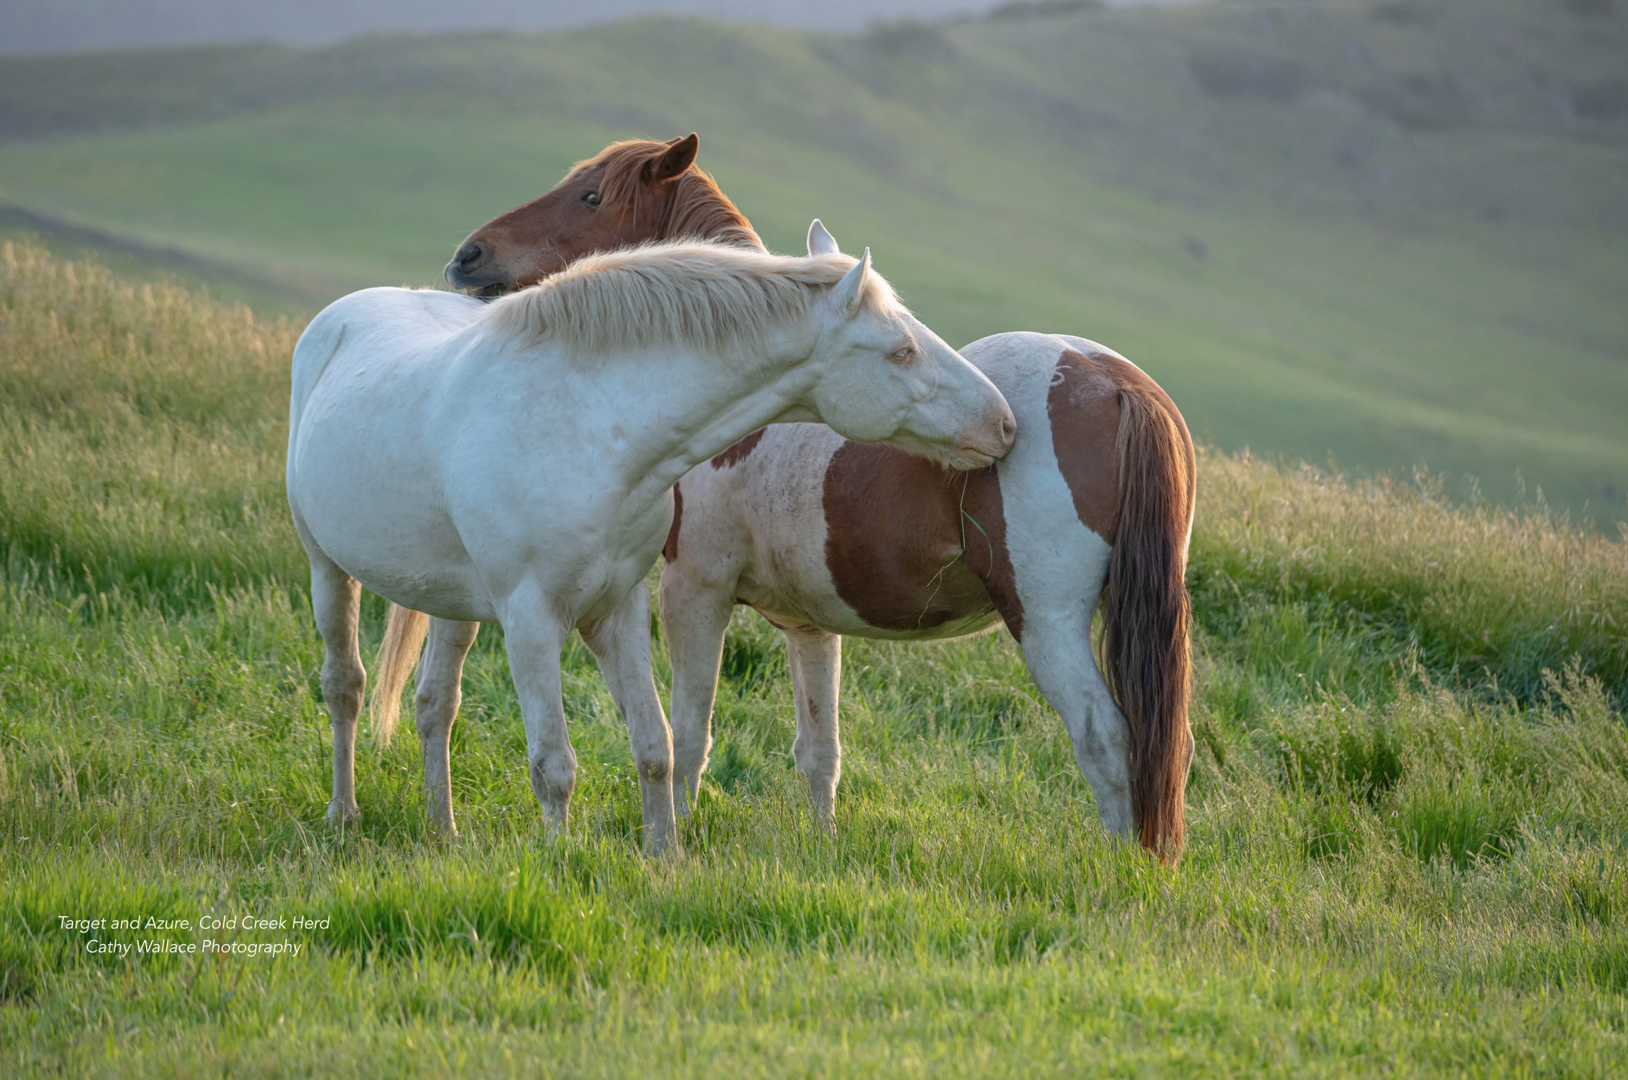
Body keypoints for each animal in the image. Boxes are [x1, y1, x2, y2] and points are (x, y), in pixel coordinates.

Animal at [288, 233, 1016, 856]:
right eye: (900, 352)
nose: (1005, 424)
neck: (586, 429)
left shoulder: (619, 609)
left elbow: (656, 745)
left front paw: (664, 856)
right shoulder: (532, 621)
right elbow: (554, 763)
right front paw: (560, 862)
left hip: (453, 605)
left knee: (435, 704)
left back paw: (444, 830)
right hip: (327, 570)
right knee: (345, 686)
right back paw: (343, 813)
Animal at [430, 134, 1196, 860]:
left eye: (590, 196)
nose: (468, 257)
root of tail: (1113, 382)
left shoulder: (694, 590)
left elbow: (689, 736)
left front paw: (679, 835)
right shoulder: (810, 623)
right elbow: (819, 753)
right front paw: (823, 846)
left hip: (1047, 623)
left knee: (1104, 737)